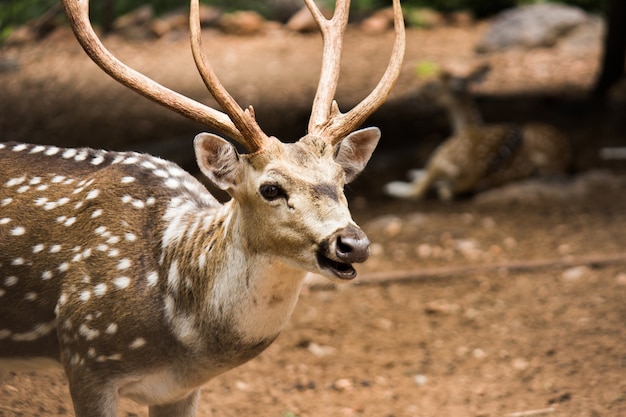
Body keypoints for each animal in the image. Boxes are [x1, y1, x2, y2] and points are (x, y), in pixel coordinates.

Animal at [380, 63, 572, 202]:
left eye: (432, 85)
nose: (411, 97)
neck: (467, 125)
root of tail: (476, 173)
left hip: (443, 151)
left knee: (418, 191)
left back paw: (393, 186)